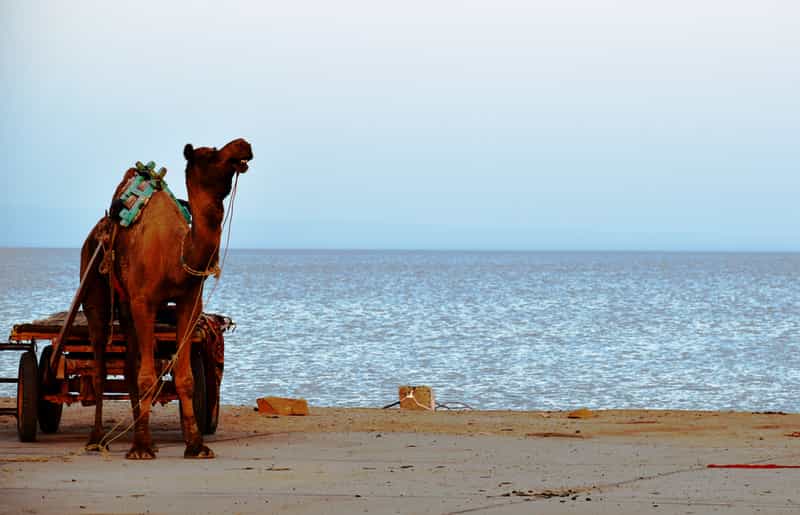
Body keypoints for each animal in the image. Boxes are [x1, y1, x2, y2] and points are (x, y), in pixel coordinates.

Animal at [79, 138, 252, 460]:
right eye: (210, 155)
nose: (243, 145)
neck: (176, 254)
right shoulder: (144, 302)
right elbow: (148, 377)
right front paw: (141, 448)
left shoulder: (188, 303)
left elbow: (185, 379)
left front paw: (196, 445)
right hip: (96, 290)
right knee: (99, 367)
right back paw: (97, 439)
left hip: (126, 306)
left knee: (130, 366)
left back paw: (140, 433)